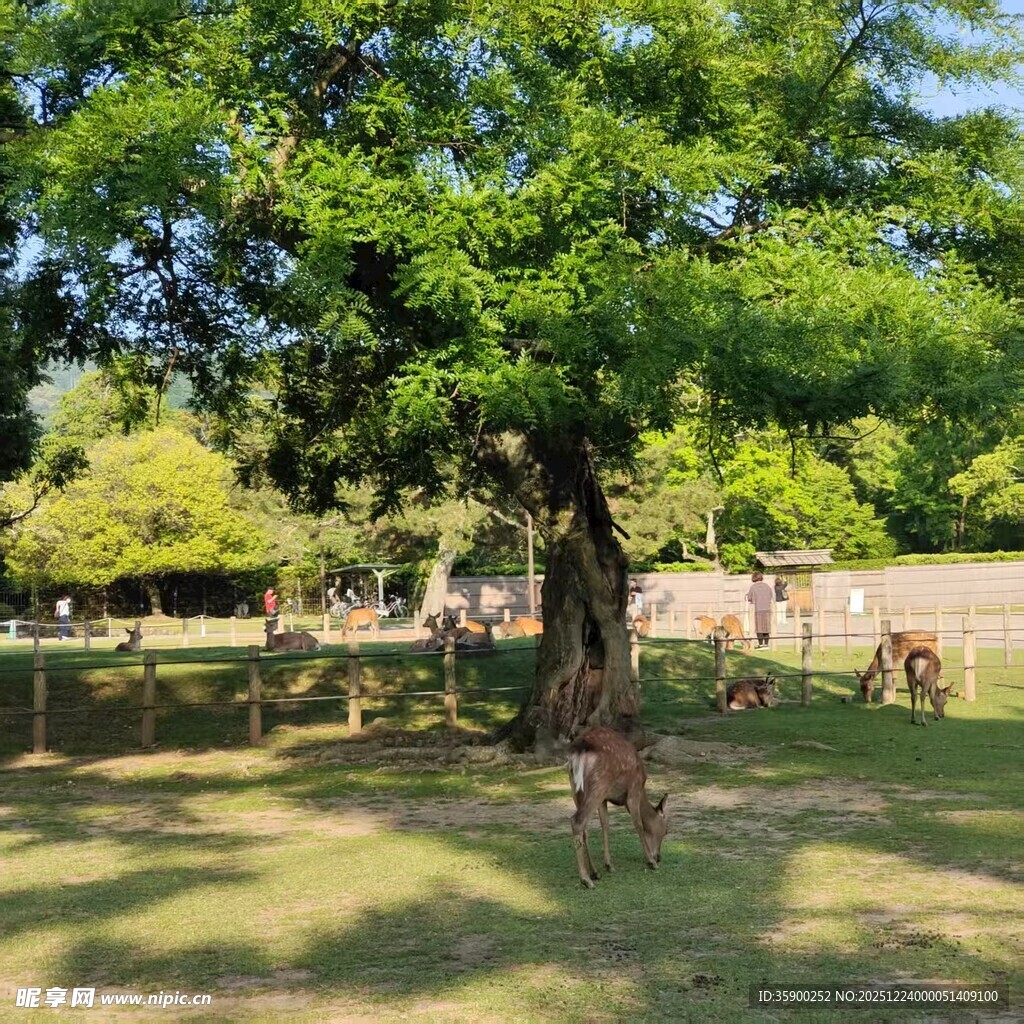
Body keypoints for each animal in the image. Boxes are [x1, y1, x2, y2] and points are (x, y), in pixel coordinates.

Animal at [568, 727, 668, 889]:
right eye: (666, 831)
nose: (658, 857)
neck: (643, 790)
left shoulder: (604, 799)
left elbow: (605, 824)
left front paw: (609, 864)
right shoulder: (633, 790)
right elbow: (638, 824)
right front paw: (651, 862)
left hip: (576, 788)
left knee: (583, 827)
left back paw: (594, 872)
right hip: (599, 784)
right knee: (577, 821)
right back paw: (586, 879)